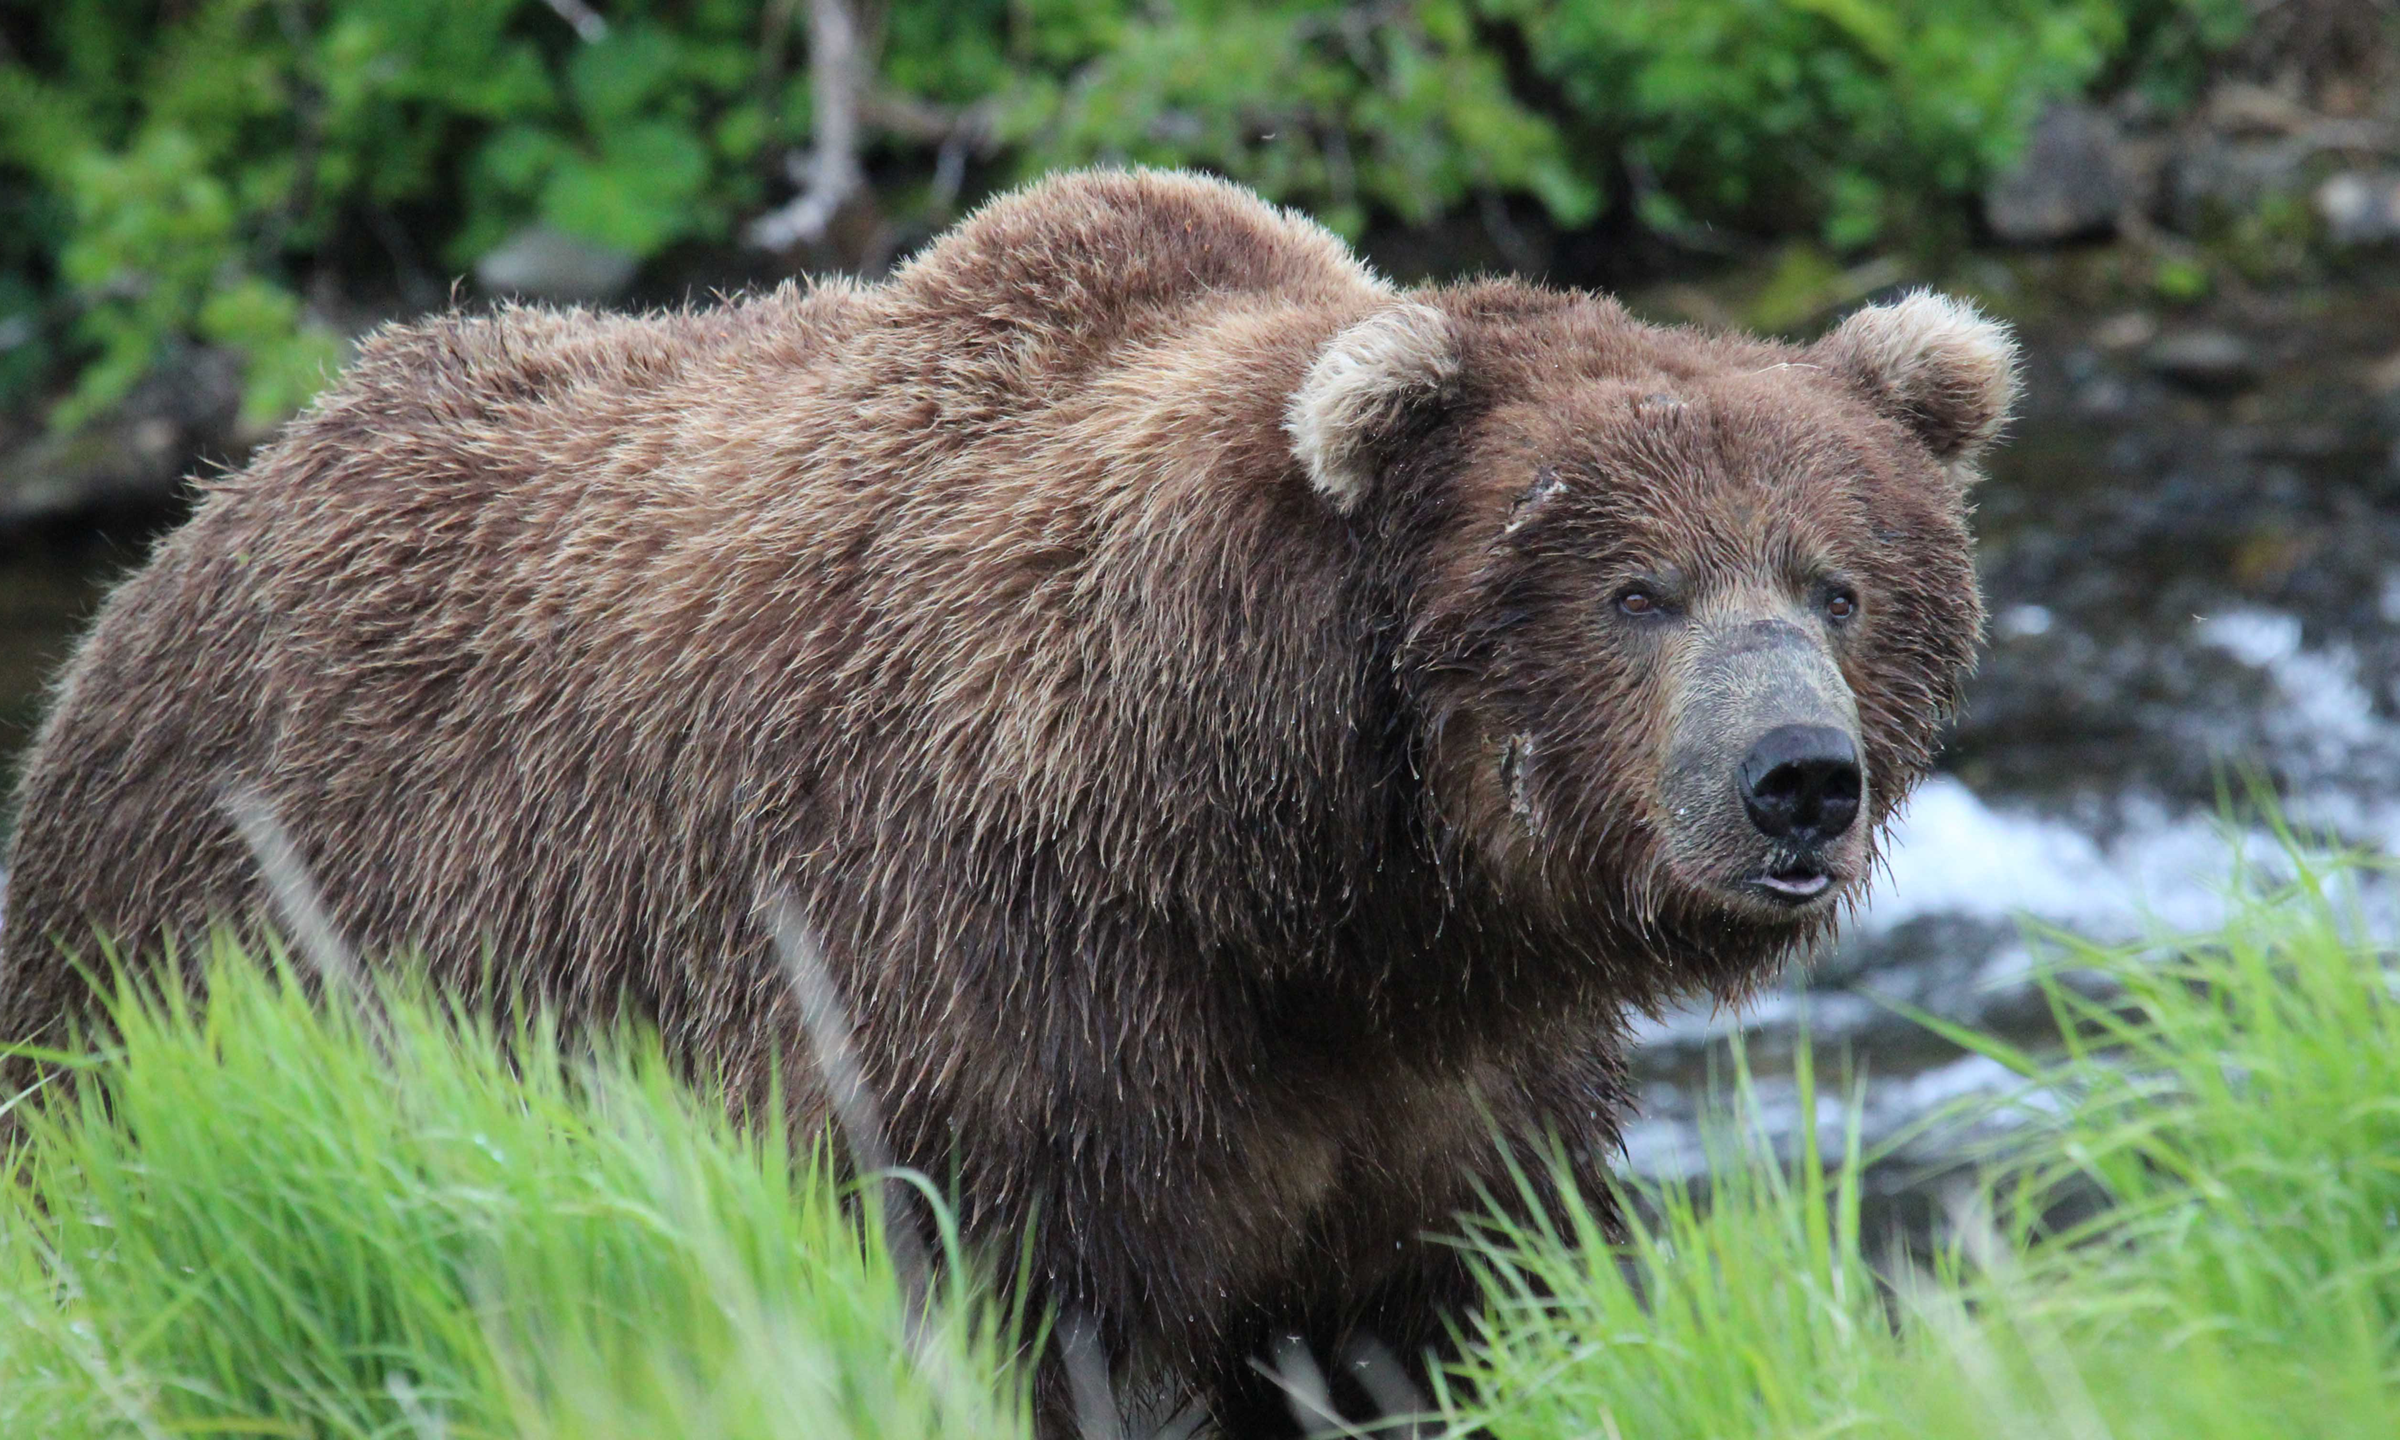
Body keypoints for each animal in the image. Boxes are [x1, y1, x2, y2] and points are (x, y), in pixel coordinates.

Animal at [2, 168, 2012, 1434]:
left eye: (1838, 583)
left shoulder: (1447, 1094)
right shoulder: (979, 998)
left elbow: (1434, 1318)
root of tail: (197, 522)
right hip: (201, 938)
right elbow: (1010, 1319)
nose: (1795, 780)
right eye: (1635, 591)